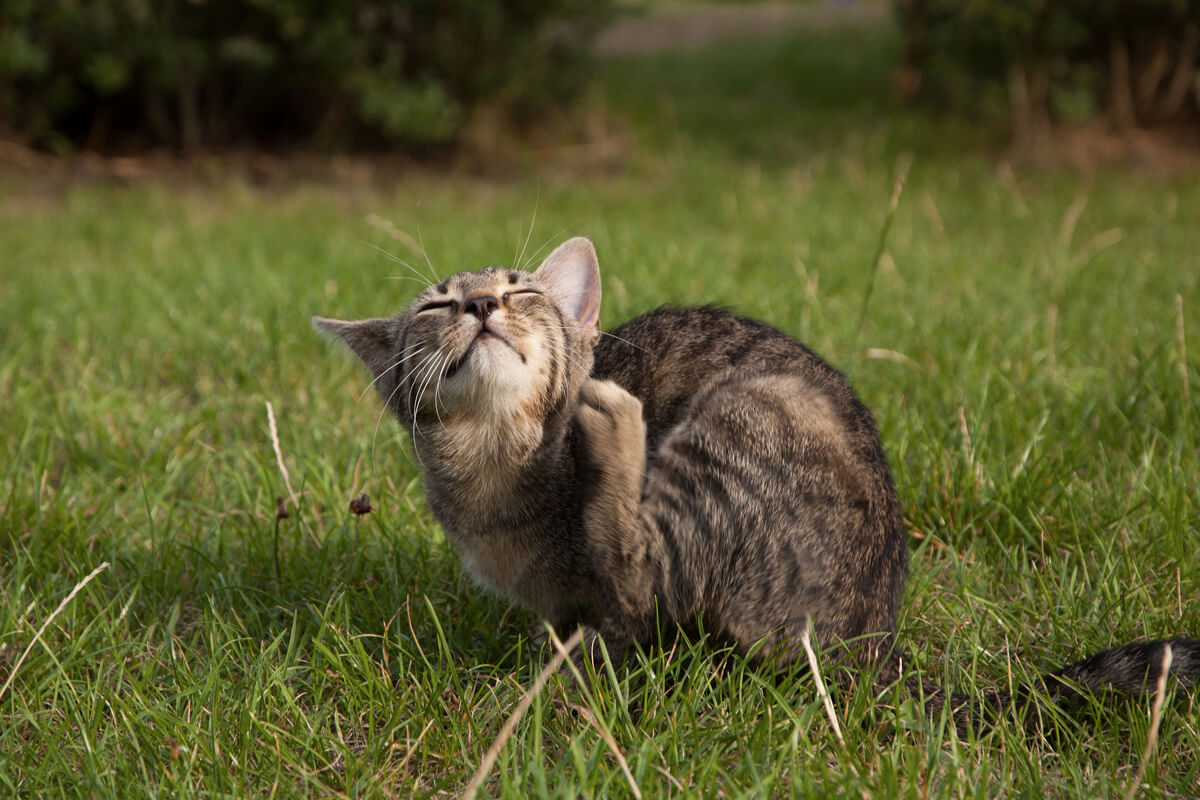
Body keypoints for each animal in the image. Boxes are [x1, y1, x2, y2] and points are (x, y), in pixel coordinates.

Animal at [319, 236, 1200, 734]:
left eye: (521, 290)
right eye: (434, 307)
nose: (478, 302)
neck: (496, 463)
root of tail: (873, 651)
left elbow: (621, 609)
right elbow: (576, 624)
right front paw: (557, 654)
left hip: (745, 415)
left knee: (642, 565)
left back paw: (619, 428)